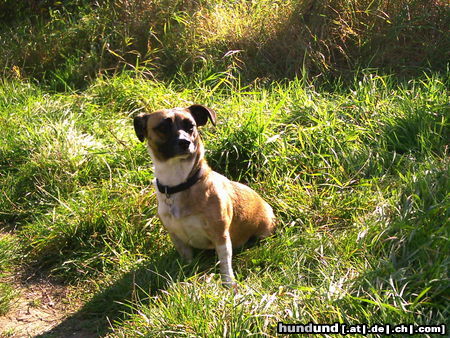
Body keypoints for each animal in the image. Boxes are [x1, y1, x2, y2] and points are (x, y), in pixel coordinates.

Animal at [133, 104, 274, 286]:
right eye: (163, 127)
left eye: (190, 126)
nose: (185, 142)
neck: (179, 184)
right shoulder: (178, 238)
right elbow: (187, 259)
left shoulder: (221, 236)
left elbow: (225, 263)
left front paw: (229, 283)